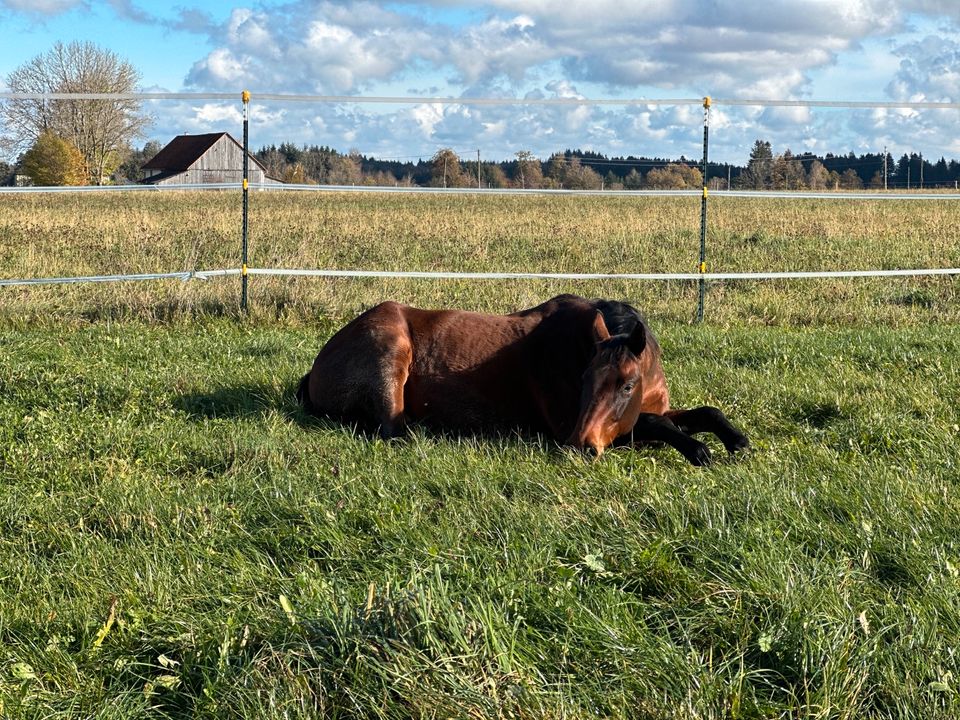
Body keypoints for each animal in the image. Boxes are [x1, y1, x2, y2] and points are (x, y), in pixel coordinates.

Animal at [296, 294, 748, 466]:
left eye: (626, 385)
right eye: (584, 380)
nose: (579, 447)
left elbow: (701, 412)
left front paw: (736, 440)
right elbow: (655, 423)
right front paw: (699, 450)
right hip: (390, 349)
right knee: (392, 430)